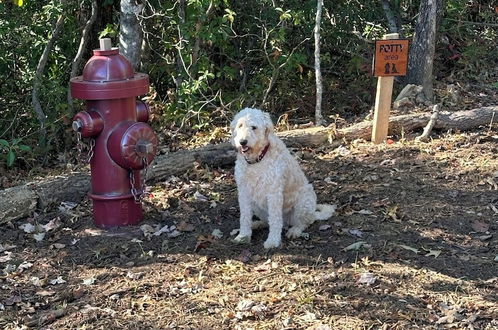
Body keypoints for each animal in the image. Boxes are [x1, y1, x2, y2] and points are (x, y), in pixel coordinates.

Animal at [231, 107, 336, 249]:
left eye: (254, 127)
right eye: (240, 125)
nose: (242, 142)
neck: (257, 160)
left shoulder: (274, 193)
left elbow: (275, 220)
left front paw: (272, 241)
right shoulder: (243, 192)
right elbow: (244, 217)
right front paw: (243, 236)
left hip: (304, 201)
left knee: (304, 222)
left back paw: (295, 230)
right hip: (258, 206)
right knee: (269, 221)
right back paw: (257, 224)